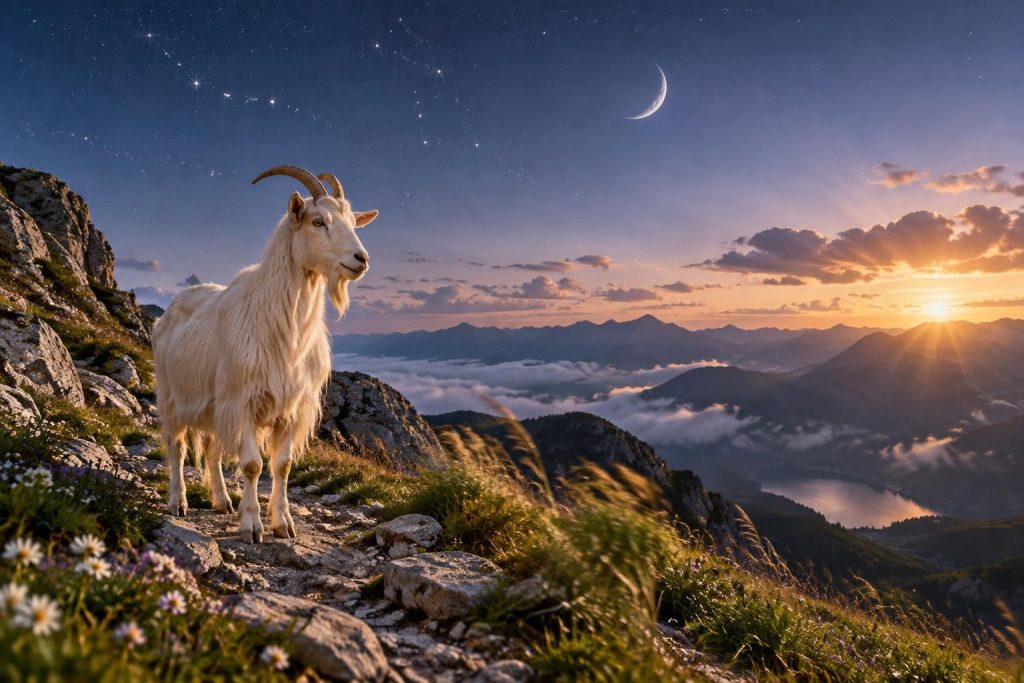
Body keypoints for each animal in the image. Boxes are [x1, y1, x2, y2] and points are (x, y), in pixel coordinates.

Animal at [152, 166, 377, 543]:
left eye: (352, 222)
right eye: (318, 221)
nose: (361, 259)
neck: (284, 331)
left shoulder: (290, 408)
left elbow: (281, 465)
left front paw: (283, 523)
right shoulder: (241, 401)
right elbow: (252, 465)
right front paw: (252, 526)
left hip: (214, 406)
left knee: (211, 448)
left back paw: (222, 501)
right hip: (173, 396)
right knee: (177, 447)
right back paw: (177, 502)